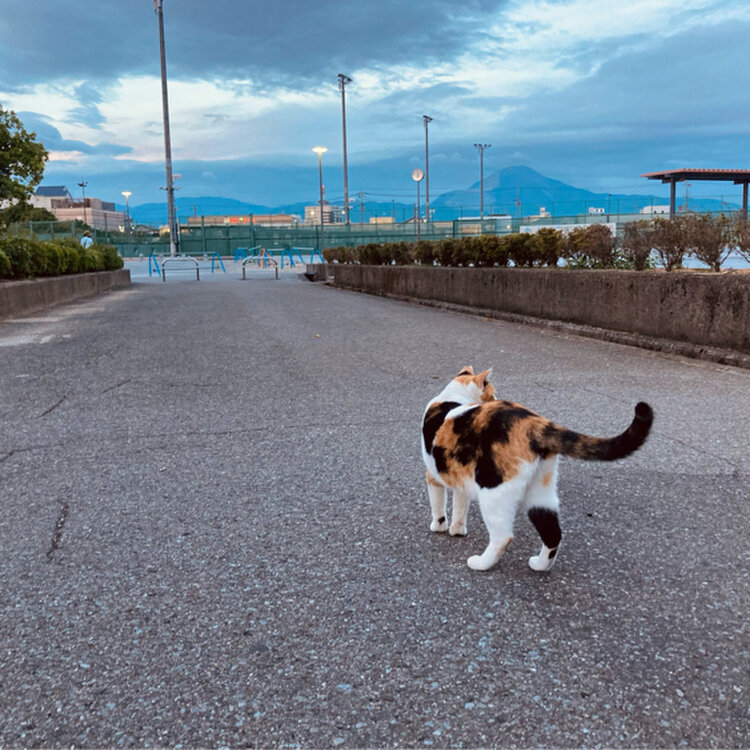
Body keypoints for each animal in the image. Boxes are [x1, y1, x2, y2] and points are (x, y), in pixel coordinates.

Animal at [421, 366, 653, 572]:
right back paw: (540, 565)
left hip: (492, 489)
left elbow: (438, 505)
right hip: (541, 491)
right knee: (553, 533)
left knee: (503, 537)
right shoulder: (458, 477)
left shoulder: (433, 476)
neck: (453, 396)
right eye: (493, 393)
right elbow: (460, 506)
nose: (497, 398)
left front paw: (439, 526)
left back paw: (481, 563)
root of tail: (535, 423)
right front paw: (457, 529)